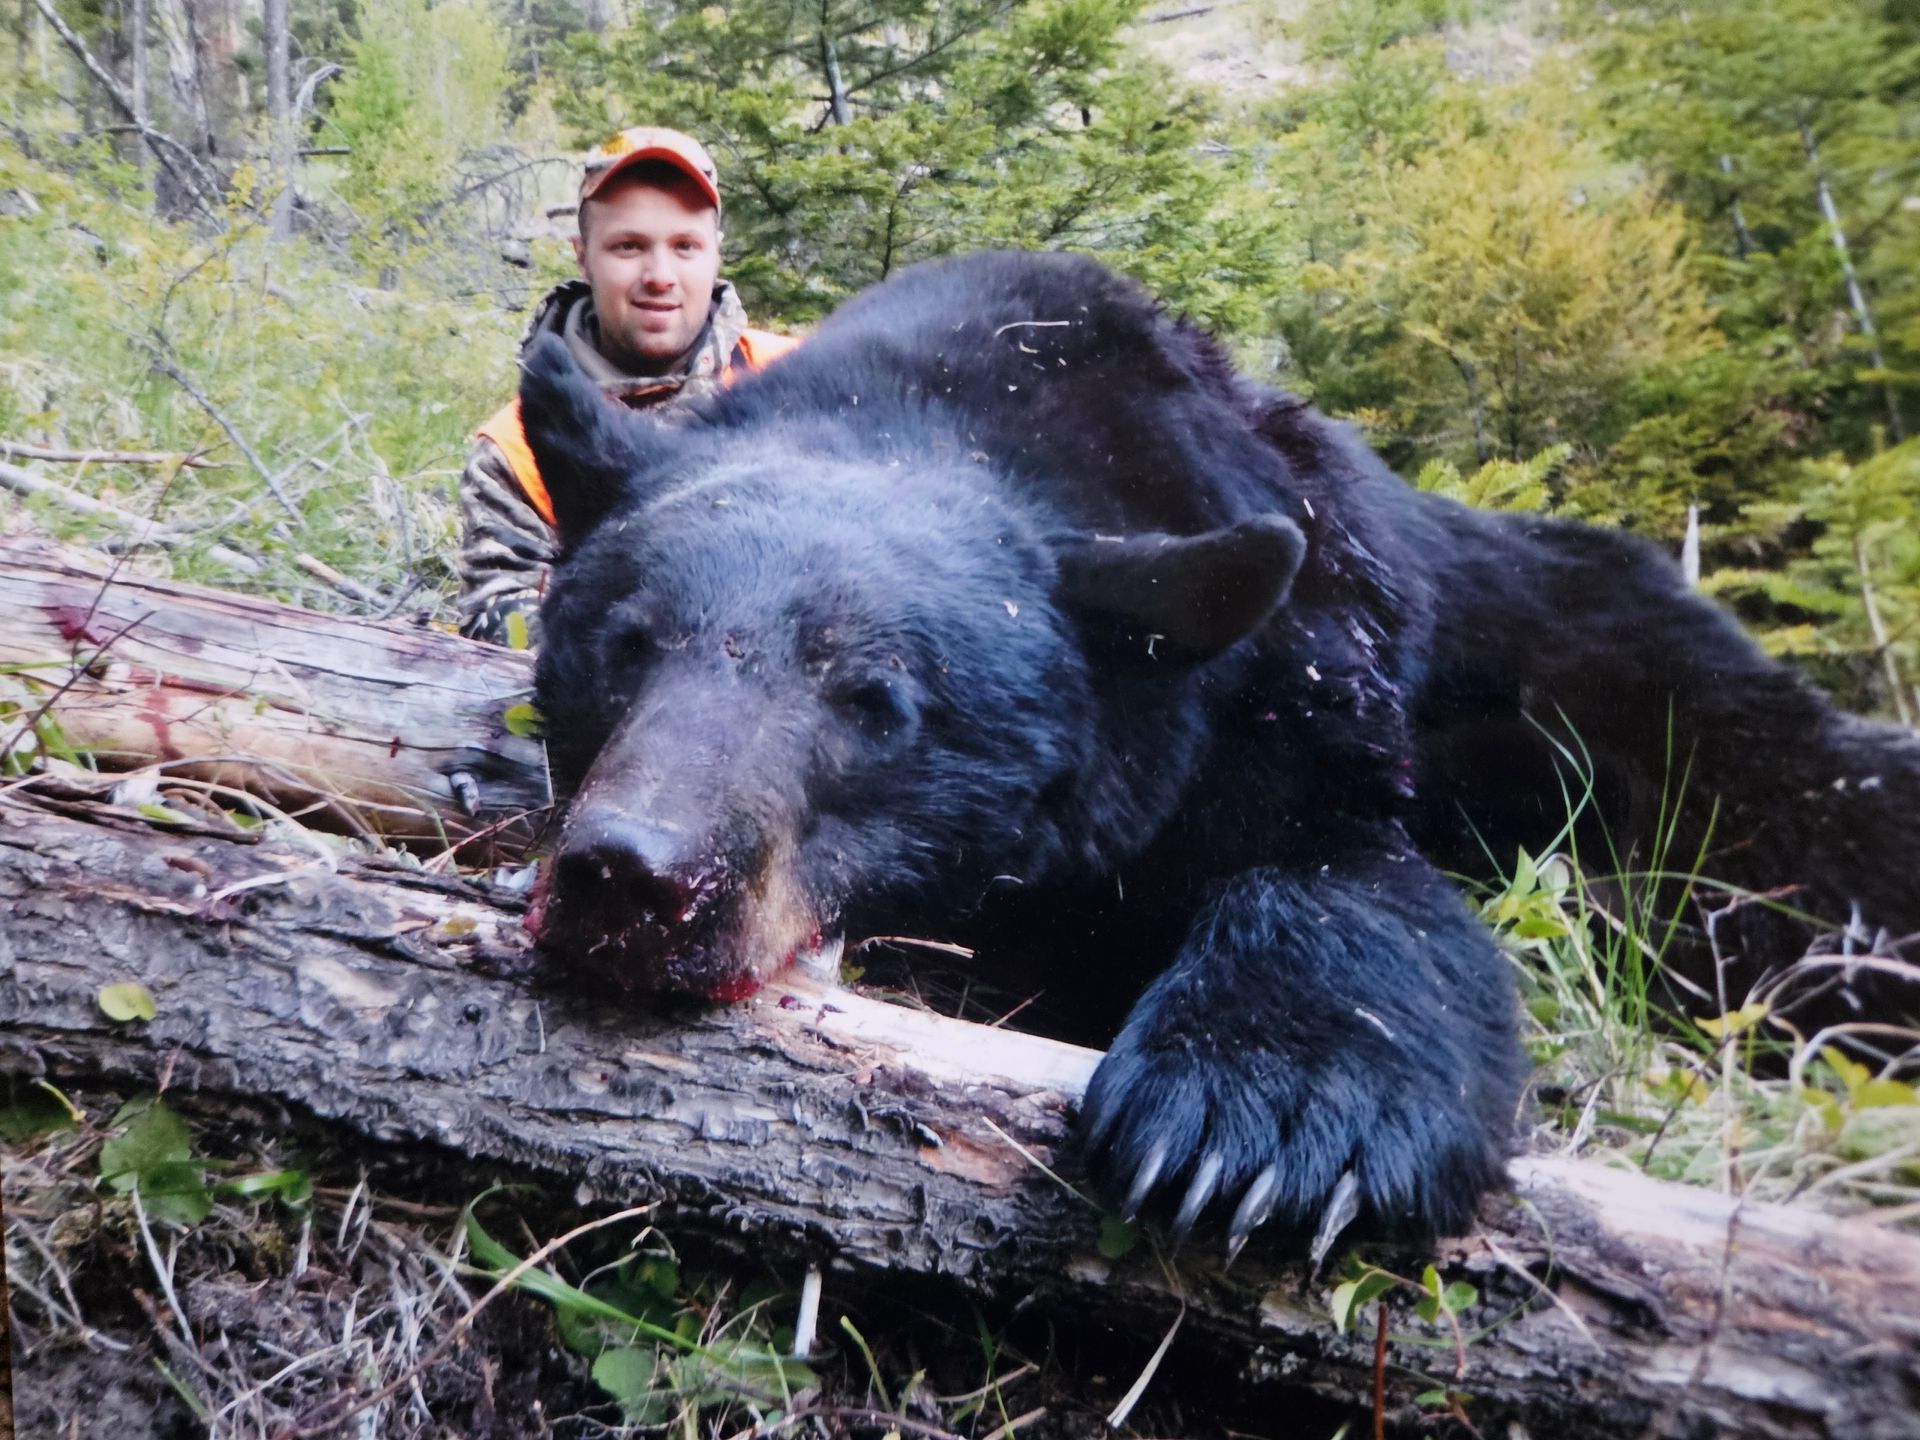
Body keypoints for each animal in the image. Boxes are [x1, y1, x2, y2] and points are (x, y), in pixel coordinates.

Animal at [517, 249, 1920, 1253]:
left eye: (875, 700)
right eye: (627, 644)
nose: (638, 876)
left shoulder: (1295, 684)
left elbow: (1342, 879)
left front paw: (1258, 1128)